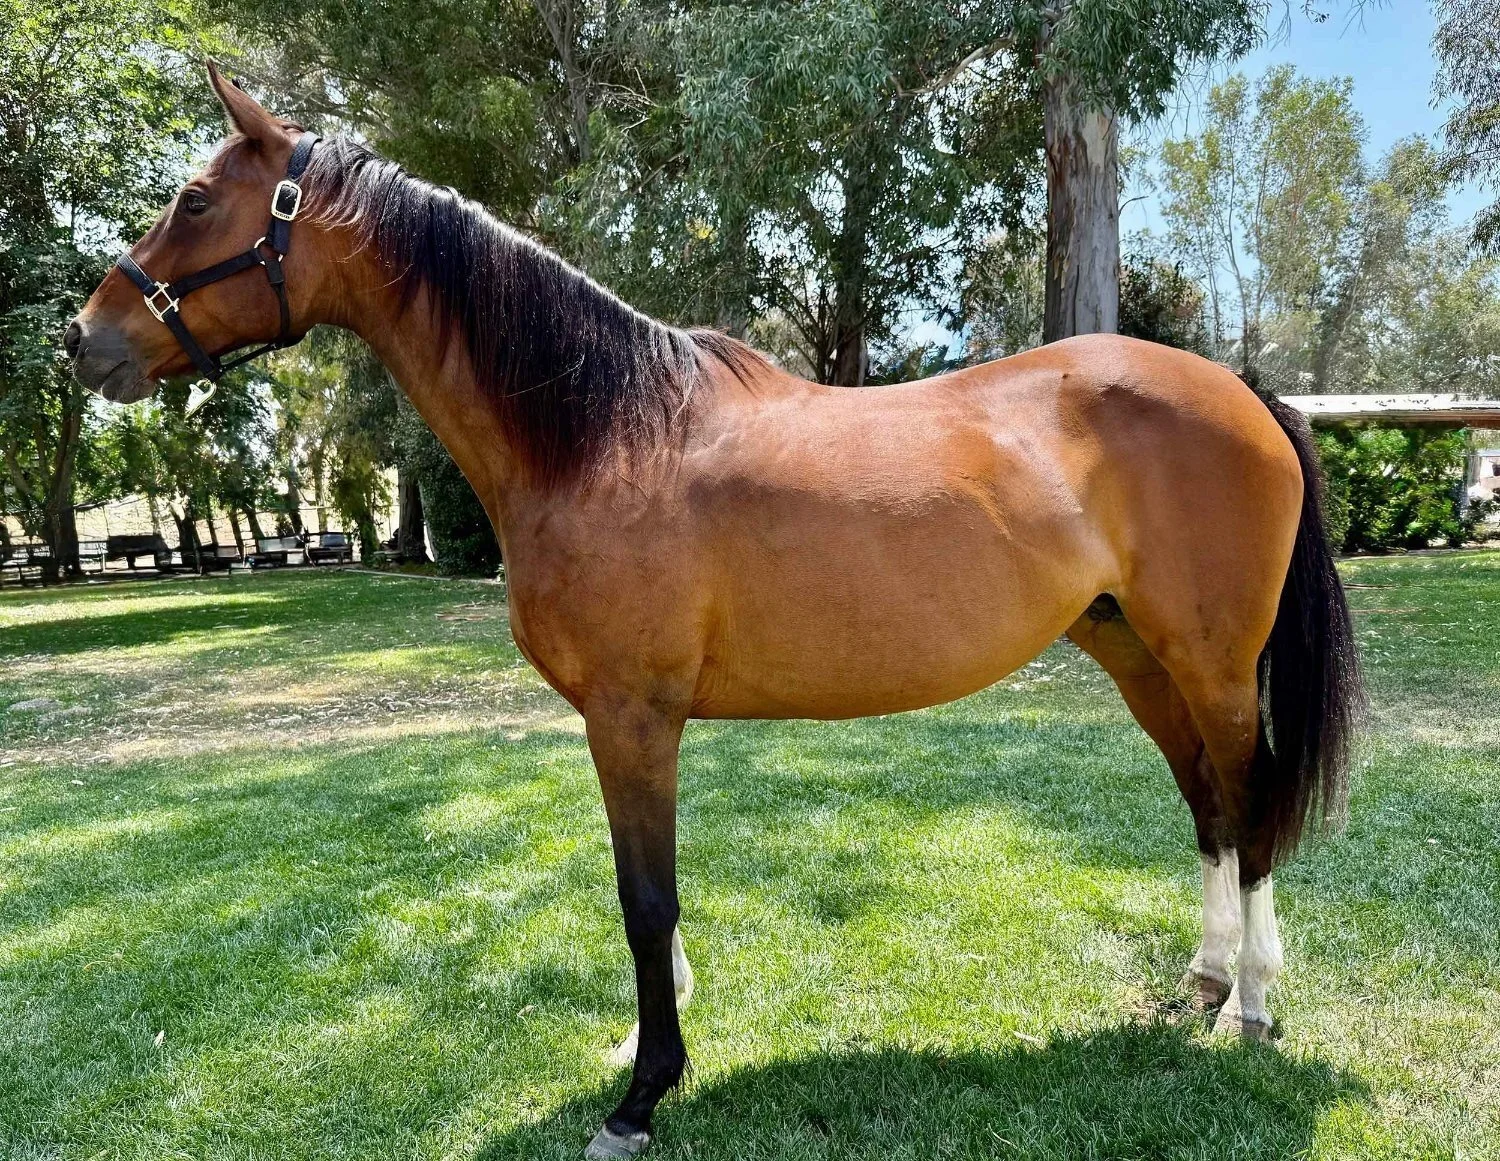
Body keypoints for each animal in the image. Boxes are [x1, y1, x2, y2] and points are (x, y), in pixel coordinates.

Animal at [66, 66, 1361, 1159]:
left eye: (193, 200)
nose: (85, 342)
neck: (600, 434)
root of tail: (1240, 390)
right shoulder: (624, 722)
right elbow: (645, 896)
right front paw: (654, 1040)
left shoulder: (631, 715)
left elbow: (646, 901)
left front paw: (642, 1095)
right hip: (1133, 650)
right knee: (1209, 807)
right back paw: (1204, 980)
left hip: (1209, 660)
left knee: (1250, 807)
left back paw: (1250, 1004)